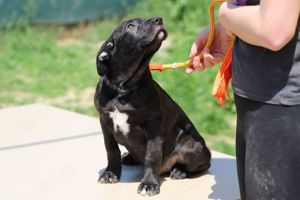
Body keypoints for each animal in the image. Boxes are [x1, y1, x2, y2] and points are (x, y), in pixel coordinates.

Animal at [94, 17, 211, 197]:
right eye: (130, 25)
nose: (159, 19)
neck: (123, 89)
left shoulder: (154, 128)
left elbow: (152, 156)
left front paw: (149, 184)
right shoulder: (105, 122)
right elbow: (111, 150)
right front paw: (110, 173)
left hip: (192, 145)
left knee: (203, 165)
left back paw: (180, 171)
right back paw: (129, 157)